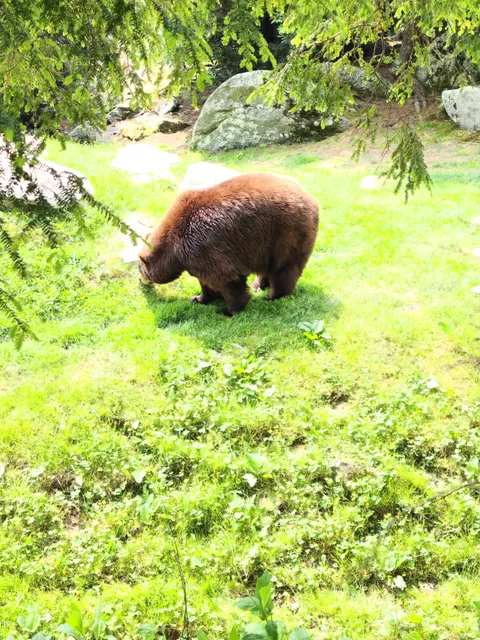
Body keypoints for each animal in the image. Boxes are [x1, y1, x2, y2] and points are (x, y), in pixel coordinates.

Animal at [138, 172, 319, 316]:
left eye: (140, 268)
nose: (141, 282)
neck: (175, 250)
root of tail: (312, 198)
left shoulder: (204, 245)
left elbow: (227, 279)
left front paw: (228, 311)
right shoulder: (195, 256)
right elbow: (206, 281)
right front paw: (198, 298)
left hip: (287, 233)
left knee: (284, 269)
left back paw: (273, 297)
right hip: (268, 245)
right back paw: (257, 285)